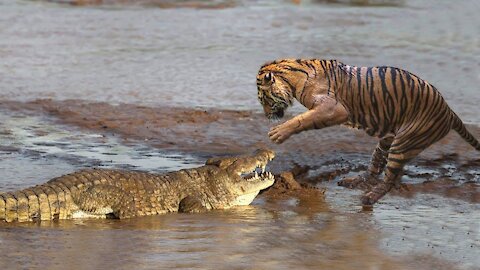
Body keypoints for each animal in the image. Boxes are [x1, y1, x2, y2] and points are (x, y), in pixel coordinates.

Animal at [256, 59, 480, 206]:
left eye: (264, 100)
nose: (267, 116)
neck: (292, 77)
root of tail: (450, 112)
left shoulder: (334, 109)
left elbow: (303, 119)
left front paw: (278, 133)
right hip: (387, 141)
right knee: (375, 168)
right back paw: (353, 181)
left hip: (403, 143)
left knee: (389, 180)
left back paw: (369, 197)